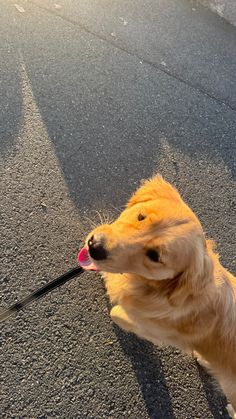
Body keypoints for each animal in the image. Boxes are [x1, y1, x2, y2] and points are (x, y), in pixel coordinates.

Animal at [78, 175, 235, 416]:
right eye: (141, 216)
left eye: (155, 256)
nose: (95, 246)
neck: (158, 289)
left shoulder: (156, 330)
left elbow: (118, 312)